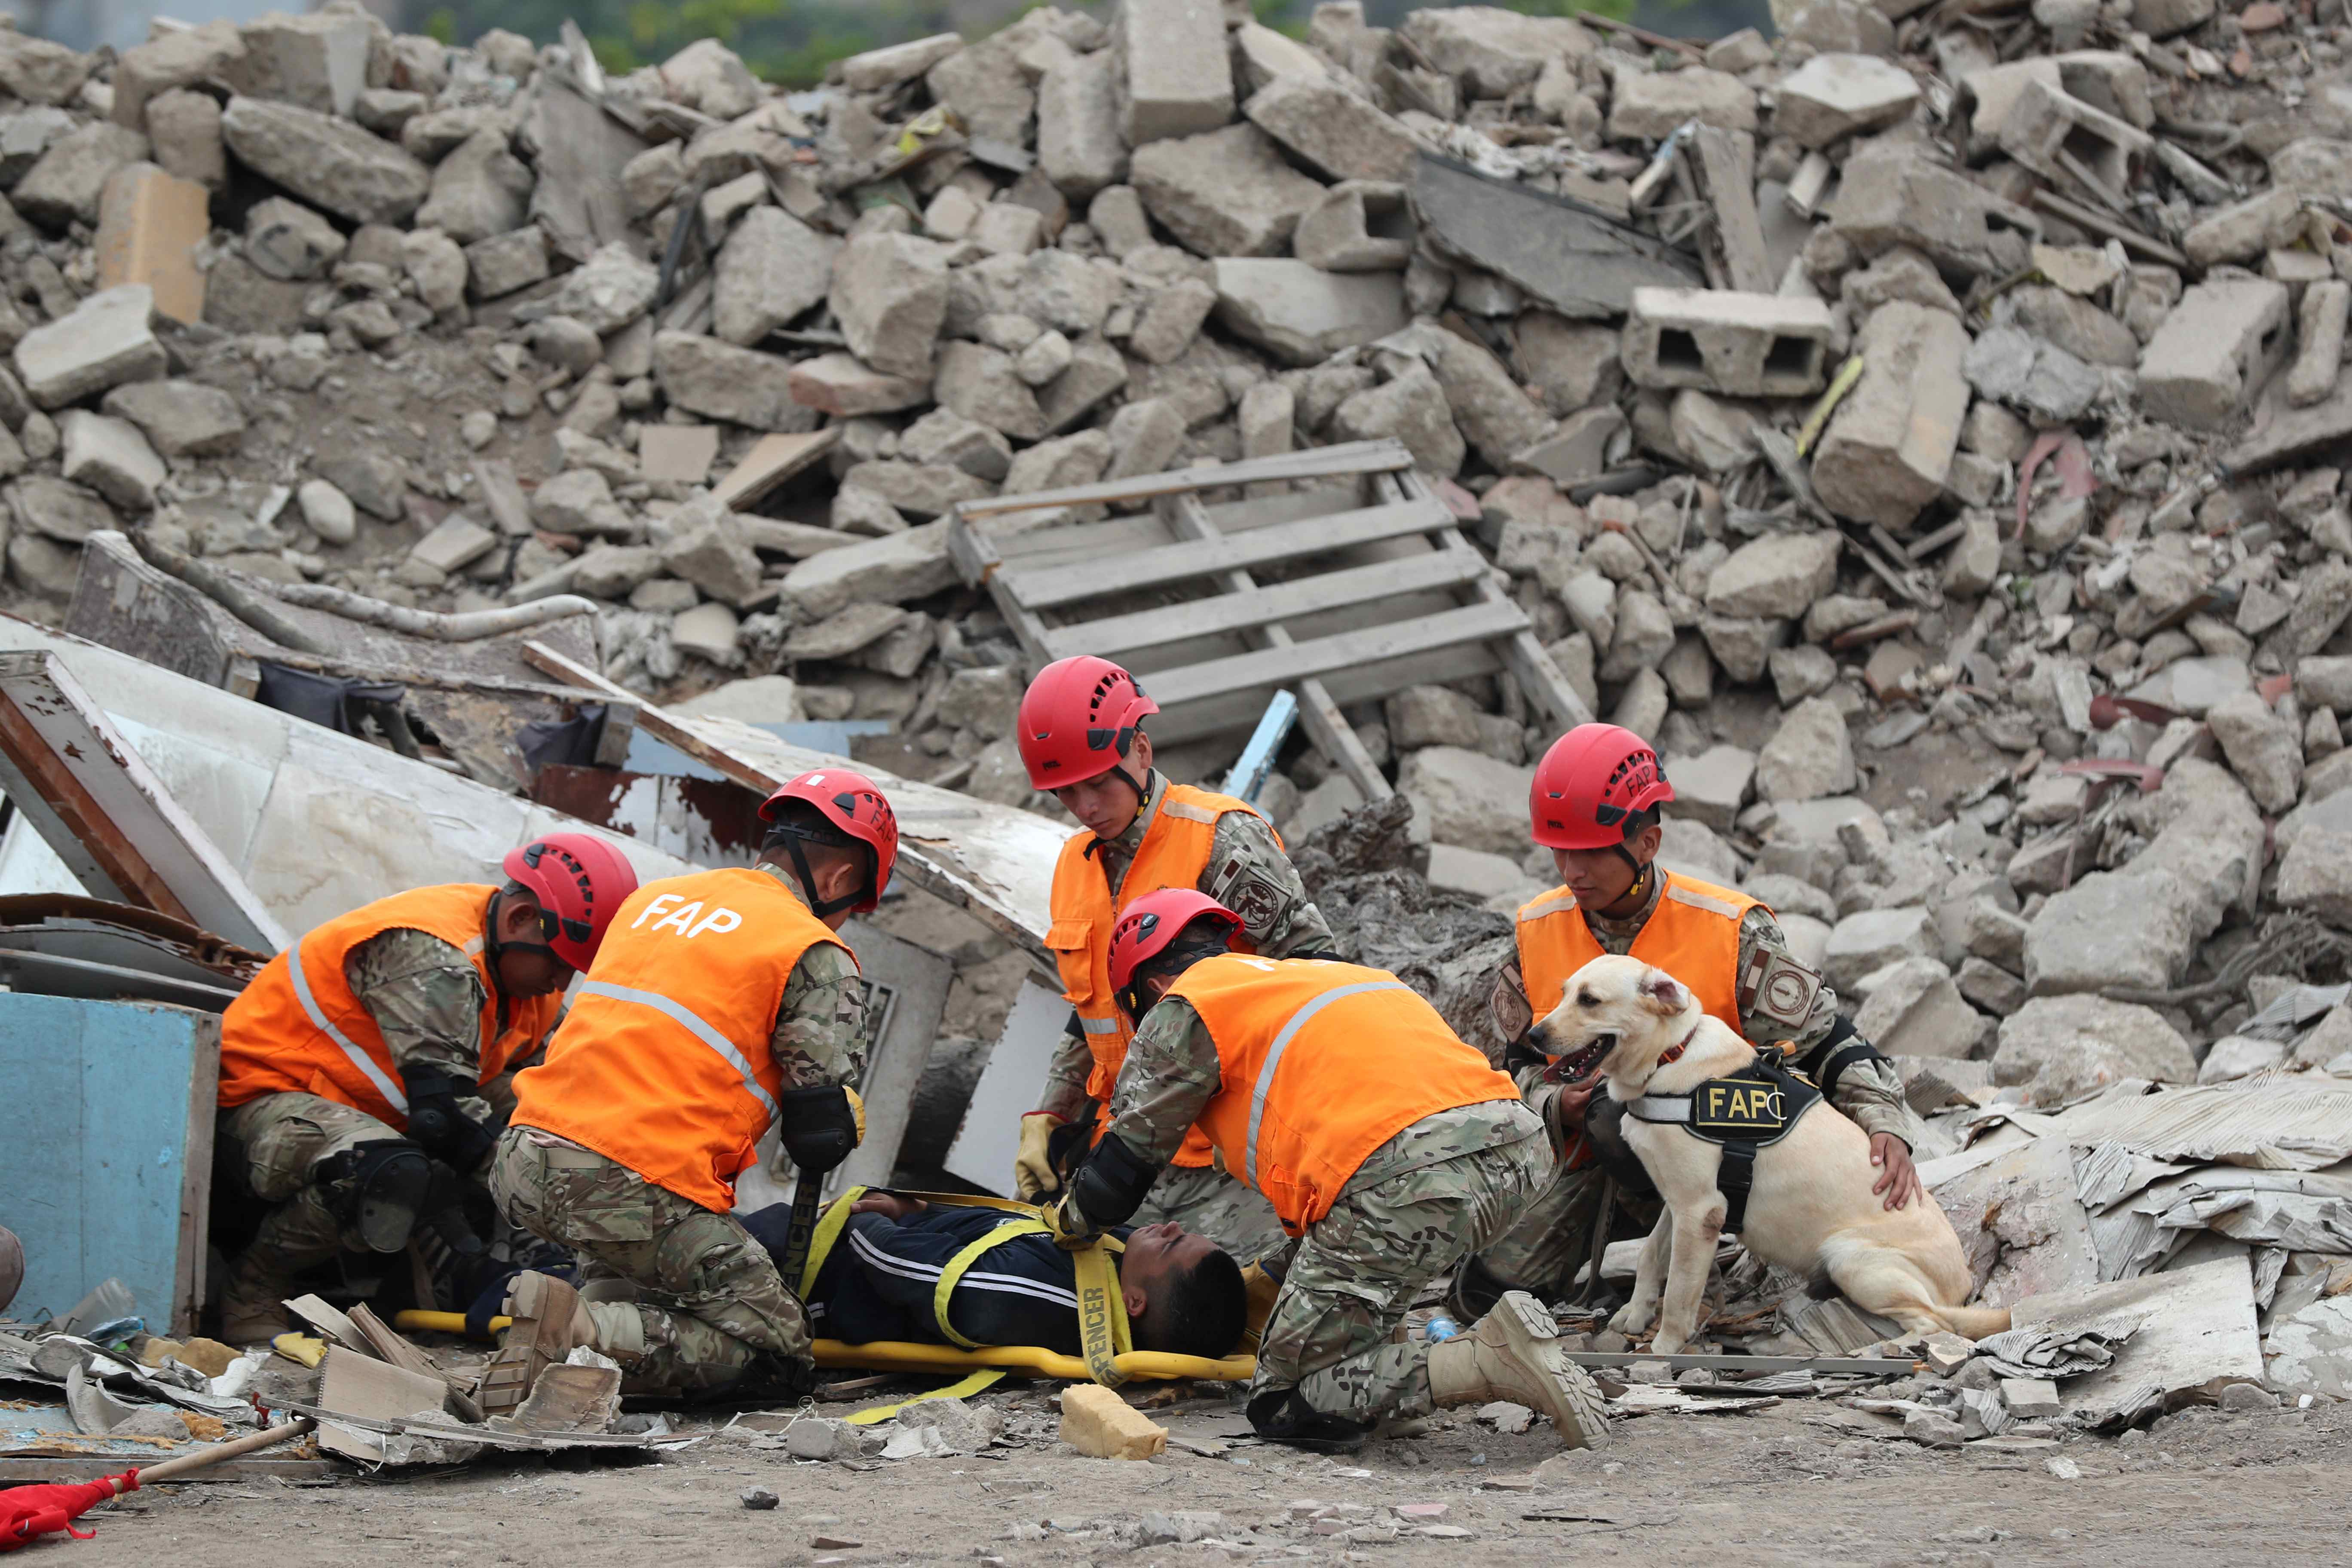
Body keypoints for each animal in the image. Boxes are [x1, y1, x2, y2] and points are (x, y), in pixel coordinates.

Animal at [1533, 949, 2013, 1354]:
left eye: (1590, 1000)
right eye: (1564, 993)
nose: (1535, 1035)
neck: (1670, 1056)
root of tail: (1963, 1287)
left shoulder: (1699, 1211)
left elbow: (1680, 1292)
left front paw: (1665, 1348)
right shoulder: (1680, 1201)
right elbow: (1651, 1255)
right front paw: (1635, 1315)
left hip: (1854, 1259)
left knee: (1934, 1325)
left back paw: (1876, 1351)